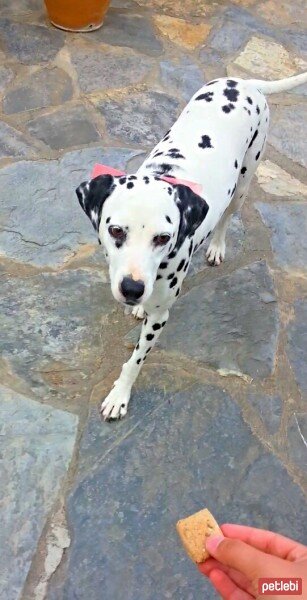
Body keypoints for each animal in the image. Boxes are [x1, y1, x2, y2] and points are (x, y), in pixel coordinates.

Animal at [76, 71, 307, 422]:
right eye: (115, 230)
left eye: (162, 238)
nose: (132, 289)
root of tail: (245, 82)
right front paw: (138, 305)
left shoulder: (161, 317)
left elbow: (135, 361)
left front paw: (119, 395)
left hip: (243, 184)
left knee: (226, 217)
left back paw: (217, 247)